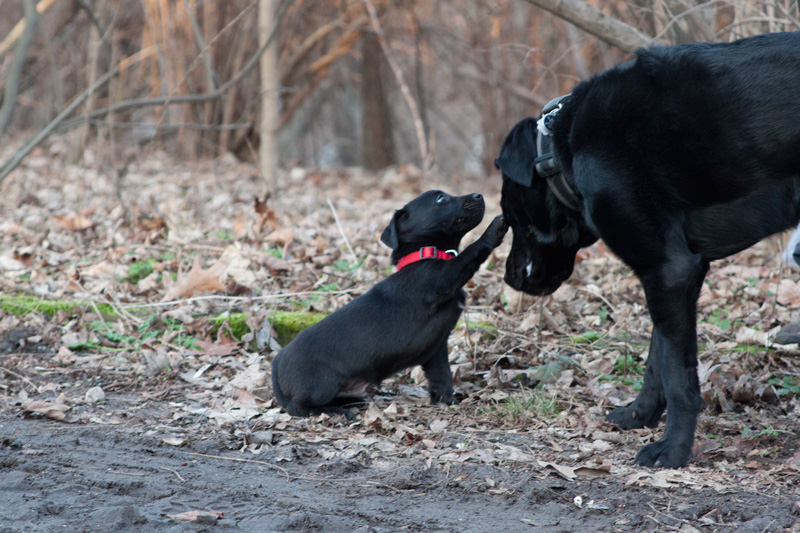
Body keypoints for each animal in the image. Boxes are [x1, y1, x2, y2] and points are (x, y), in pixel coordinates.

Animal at [270, 189, 506, 418]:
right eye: (441, 198)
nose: (479, 196)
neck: (423, 255)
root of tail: (277, 362)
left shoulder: (437, 347)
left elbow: (443, 378)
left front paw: (449, 403)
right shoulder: (443, 279)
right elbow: (470, 254)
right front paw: (495, 228)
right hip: (323, 383)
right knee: (297, 407)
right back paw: (334, 412)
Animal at [494, 31, 800, 468]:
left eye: (510, 215)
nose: (510, 278)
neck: (558, 150)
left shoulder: (668, 269)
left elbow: (676, 375)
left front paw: (672, 449)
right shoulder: (673, 272)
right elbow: (657, 357)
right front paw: (639, 415)